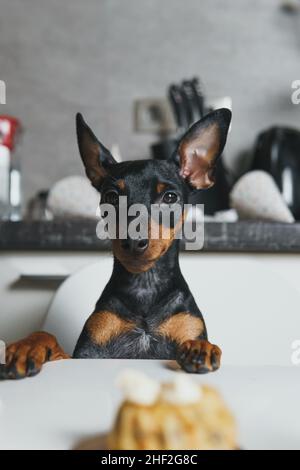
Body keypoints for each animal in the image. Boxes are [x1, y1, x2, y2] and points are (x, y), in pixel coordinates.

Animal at [0, 106, 232, 378]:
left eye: (170, 197)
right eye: (111, 197)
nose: (133, 241)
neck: (144, 285)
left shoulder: (187, 327)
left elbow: (196, 340)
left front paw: (199, 347)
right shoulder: (86, 355)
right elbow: (46, 334)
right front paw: (25, 347)